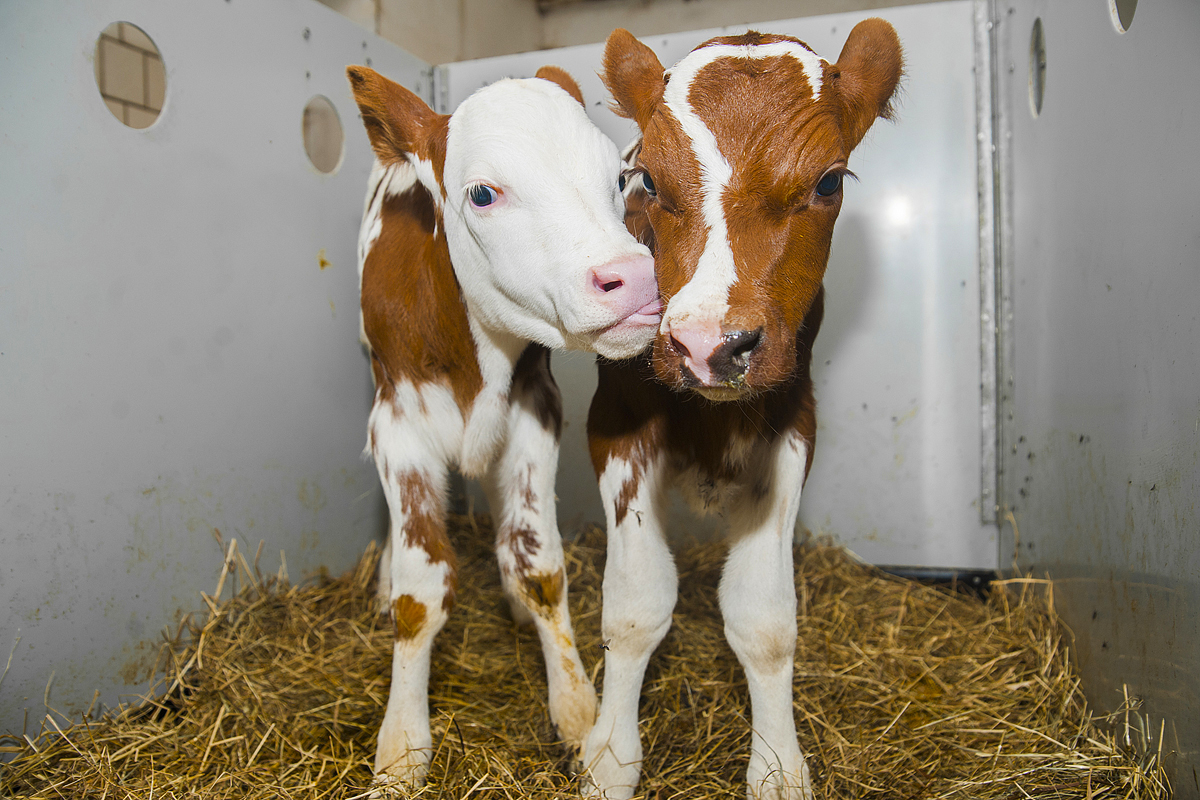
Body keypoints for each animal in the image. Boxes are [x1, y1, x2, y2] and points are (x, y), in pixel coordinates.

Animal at [343, 65, 662, 791]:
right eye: (483, 193)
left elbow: (540, 566)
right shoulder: (398, 423)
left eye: (619, 177)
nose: (633, 279)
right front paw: (401, 748)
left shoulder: (534, 410)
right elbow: (419, 591)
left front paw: (576, 709)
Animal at [580, 20, 902, 800]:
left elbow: (764, 619)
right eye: (647, 180)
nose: (707, 345)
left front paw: (779, 765)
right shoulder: (614, 424)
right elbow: (635, 605)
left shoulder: (792, 426)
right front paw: (610, 755)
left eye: (828, 180)